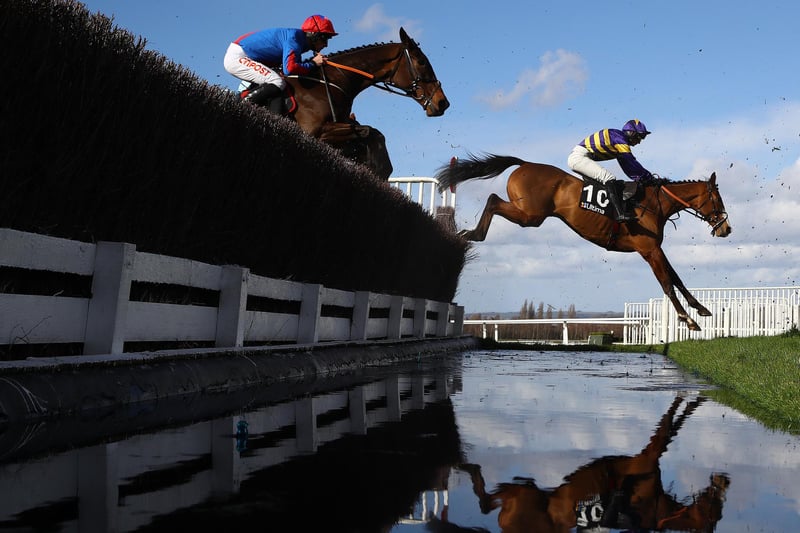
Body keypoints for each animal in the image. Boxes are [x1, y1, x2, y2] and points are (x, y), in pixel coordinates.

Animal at [247, 28, 446, 180]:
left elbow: (373, 133)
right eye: (422, 61)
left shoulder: (343, 121)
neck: (328, 83)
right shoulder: (312, 130)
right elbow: (366, 131)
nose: (443, 103)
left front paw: (376, 167)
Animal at [434, 152, 736, 330]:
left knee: (494, 200)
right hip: (530, 215)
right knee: (493, 199)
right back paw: (471, 234)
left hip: (529, 214)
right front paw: (688, 320)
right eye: (718, 200)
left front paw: (701, 309)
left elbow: (677, 279)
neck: (653, 204)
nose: (726, 228)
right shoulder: (649, 249)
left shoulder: (655, 249)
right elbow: (667, 284)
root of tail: (525, 164)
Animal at [456, 392, 732, 528]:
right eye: (715, 513)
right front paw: (690, 397)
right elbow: (668, 428)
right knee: (487, 500)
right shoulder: (648, 457)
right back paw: (468, 465)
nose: (724, 481)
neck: (654, 513)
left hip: (521, 495)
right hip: (524, 496)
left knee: (490, 502)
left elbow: (673, 427)